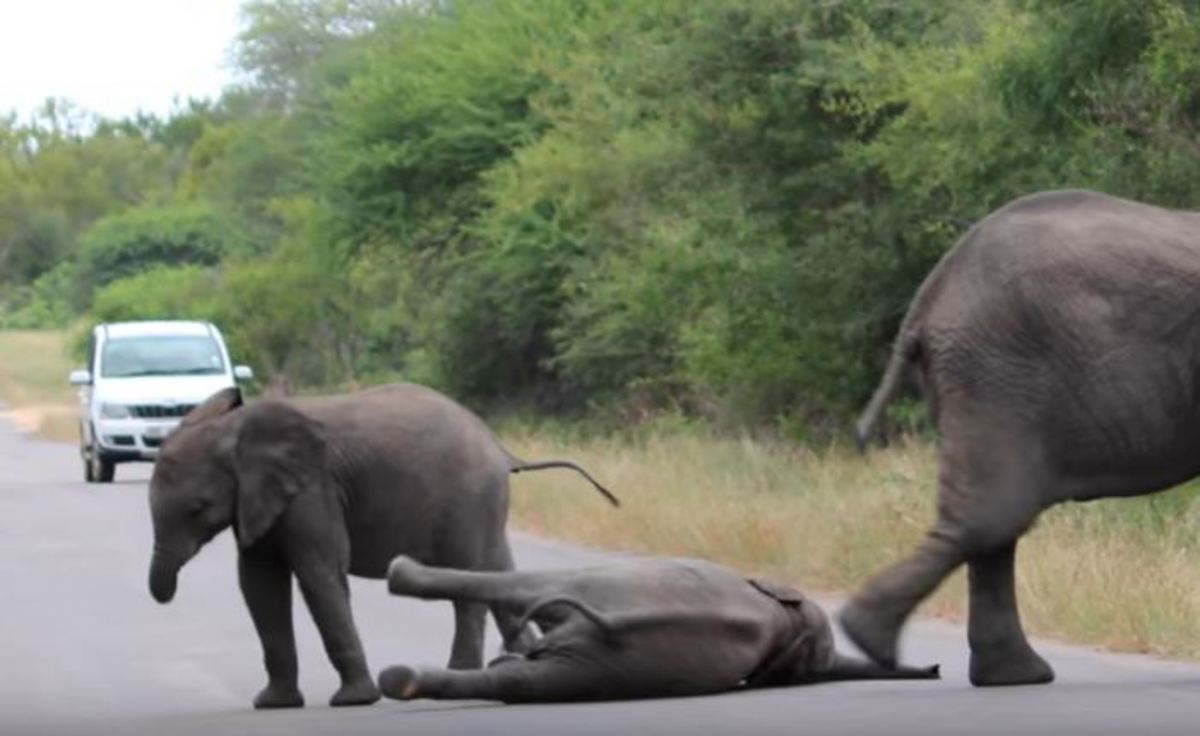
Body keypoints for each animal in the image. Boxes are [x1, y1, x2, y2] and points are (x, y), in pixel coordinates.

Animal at [147, 379, 619, 705]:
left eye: (198, 508)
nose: (163, 596)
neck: (235, 430)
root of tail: (501, 449)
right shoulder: (260, 497)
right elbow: (259, 585)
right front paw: (273, 705)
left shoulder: (312, 489)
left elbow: (319, 573)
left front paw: (354, 701)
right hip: (484, 505)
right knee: (498, 568)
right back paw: (518, 660)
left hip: (468, 495)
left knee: (468, 577)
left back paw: (461, 674)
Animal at [840, 188, 1200, 681]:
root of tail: (931, 292)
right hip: (996, 372)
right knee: (993, 516)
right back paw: (869, 637)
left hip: (980, 375)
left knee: (991, 528)